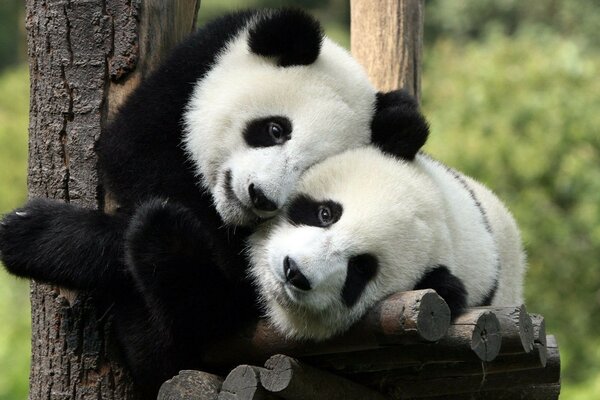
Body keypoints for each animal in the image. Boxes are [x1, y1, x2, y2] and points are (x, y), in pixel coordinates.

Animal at [0, 7, 428, 396]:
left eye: (309, 169)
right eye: (275, 129)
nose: (260, 196)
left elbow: (223, 290)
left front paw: (32, 233)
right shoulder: (191, 71)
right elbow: (131, 151)